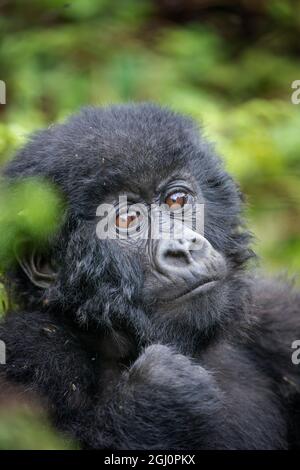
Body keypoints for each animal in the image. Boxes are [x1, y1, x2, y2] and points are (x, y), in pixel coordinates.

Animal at [0, 104, 300, 450]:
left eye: (176, 200)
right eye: (128, 219)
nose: (183, 248)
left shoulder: (279, 311)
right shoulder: (27, 345)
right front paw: (160, 396)